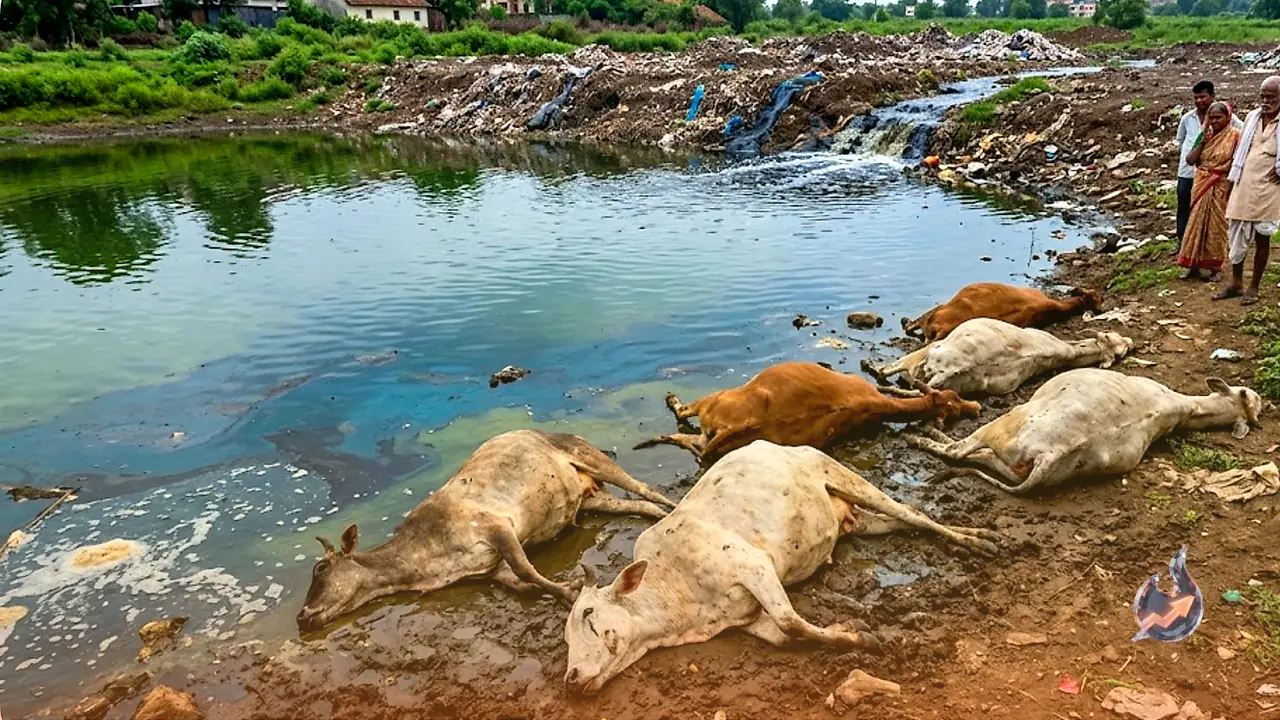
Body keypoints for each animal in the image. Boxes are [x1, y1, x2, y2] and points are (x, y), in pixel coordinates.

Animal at [296, 430, 676, 631]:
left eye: (321, 568)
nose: (302, 615)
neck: (424, 564)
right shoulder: (490, 569)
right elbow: (521, 583)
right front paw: (567, 585)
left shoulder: (495, 525)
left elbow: (527, 570)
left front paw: (571, 592)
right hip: (591, 498)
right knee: (639, 506)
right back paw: (661, 517)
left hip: (589, 454)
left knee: (644, 488)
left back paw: (674, 506)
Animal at [563, 440, 1000, 695]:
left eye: (589, 614)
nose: (571, 679)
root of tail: (779, 443)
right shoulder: (746, 619)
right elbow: (787, 635)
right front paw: (850, 631)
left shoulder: (754, 565)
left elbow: (791, 622)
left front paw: (865, 638)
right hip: (857, 518)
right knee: (905, 522)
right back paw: (976, 531)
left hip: (839, 474)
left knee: (911, 512)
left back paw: (979, 542)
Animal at [634, 361, 981, 464]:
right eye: (953, 399)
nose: (976, 408)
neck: (879, 406)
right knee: (687, 440)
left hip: (714, 401)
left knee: (684, 418)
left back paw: (672, 401)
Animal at [905, 369, 1262, 496]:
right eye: (1249, 394)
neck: (1182, 407)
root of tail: (1051, 454)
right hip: (1015, 464)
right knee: (979, 457)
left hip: (1007, 425)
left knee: (958, 451)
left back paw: (921, 436)